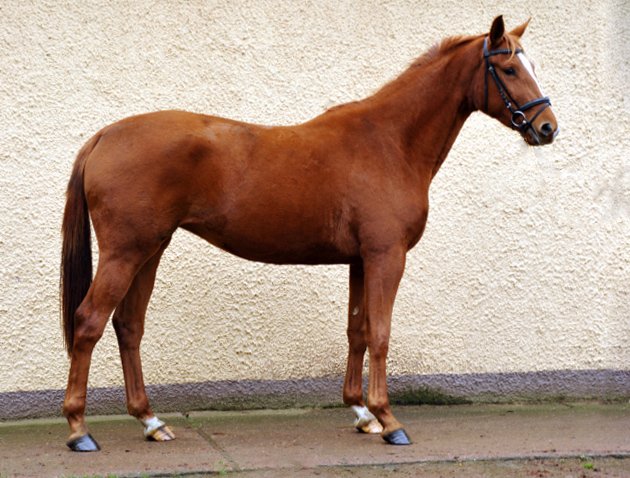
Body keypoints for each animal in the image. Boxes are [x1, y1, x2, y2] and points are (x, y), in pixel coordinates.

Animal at [61, 15, 560, 452]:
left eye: (531, 66)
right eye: (509, 68)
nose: (547, 127)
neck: (390, 142)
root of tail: (105, 135)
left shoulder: (361, 260)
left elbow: (358, 330)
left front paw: (362, 414)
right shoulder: (386, 255)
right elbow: (381, 332)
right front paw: (389, 420)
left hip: (150, 249)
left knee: (128, 325)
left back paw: (151, 422)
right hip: (125, 252)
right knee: (89, 322)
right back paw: (80, 430)